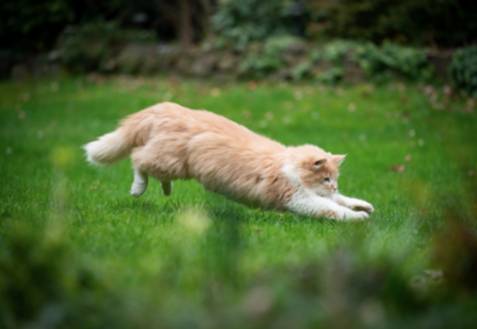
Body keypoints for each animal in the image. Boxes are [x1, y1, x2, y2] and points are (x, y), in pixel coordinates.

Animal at [86, 102, 376, 220]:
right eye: (326, 178)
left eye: (334, 179)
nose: (333, 185)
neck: (287, 164)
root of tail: (167, 107)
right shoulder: (297, 198)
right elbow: (332, 209)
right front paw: (358, 218)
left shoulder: (312, 194)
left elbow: (341, 201)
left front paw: (363, 206)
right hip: (169, 161)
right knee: (137, 159)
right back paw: (138, 190)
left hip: (171, 162)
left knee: (147, 164)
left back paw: (165, 190)